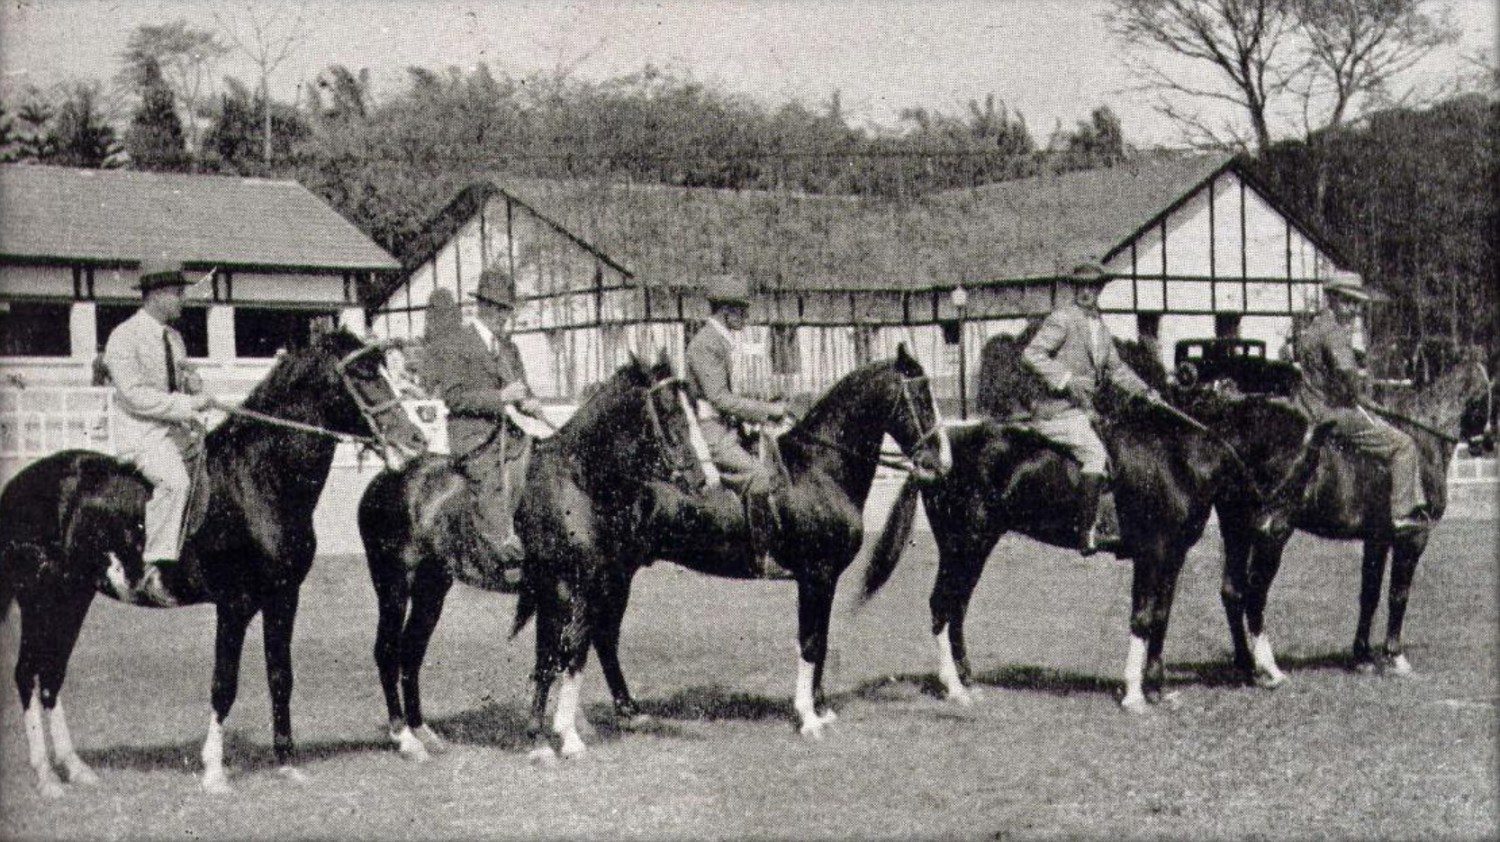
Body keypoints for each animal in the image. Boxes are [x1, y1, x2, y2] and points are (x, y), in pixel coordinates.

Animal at [0, 327, 429, 792]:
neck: (259, 479)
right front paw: (214, 772)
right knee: (27, 672)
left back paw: (75, 768)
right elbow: (224, 683)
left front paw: (287, 761)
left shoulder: (283, 597)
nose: (415, 440)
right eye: (363, 373)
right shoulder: (234, 604)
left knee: (50, 674)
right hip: (39, 595)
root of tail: (20, 484)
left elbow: (281, 676)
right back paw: (47, 777)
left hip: (72, 596)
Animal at [357, 352, 702, 762]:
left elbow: (568, 655)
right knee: (386, 651)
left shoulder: (583, 587)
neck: (577, 482)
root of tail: (384, 479)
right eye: (667, 410)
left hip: (431, 587)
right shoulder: (563, 588)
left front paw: (563, 732)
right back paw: (405, 739)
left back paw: (424, 732)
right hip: (393, 585)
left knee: (411, 652)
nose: (699, 479)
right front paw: (547, 739)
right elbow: (557, 657)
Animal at [519, 345, 948, 750]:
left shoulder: (823, 581)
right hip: (593, 578)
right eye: (920, 396)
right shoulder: (816, 576)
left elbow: (821, 640)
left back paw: (626, 713)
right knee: (578, 641)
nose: (941, 462)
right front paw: (807, 717)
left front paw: (821, 709)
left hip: (616, 576)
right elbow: (810, 642)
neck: (818, 470)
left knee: (601, 638)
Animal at [864, 331, 1320, 711]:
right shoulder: (1152, 553)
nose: (1277, 527)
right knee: (943, 604)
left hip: (974, 548)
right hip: (965, 544)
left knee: (956, 606)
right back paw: (954, 687)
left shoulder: (1171, 556)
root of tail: (934, 454)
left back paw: (966, 679)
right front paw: (1134, 694)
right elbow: (1143, 616)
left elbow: (1161, 615)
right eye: (1303, 463)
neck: (1177, 454)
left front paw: (1157, 687)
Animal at [1200, 351, 1494, 678]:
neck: (1421, 440)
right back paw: (1267, 666)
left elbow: (1370, 594)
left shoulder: (1378, 538)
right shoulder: (1414, 536)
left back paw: (1244, 663)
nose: (1486, 443)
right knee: (1254, 593)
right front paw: (1395, 656)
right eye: (1488, 394)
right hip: (1271, 534)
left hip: (1235, 528)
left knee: (1232, 591)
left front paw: (1362, 656)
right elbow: (1398, 594)